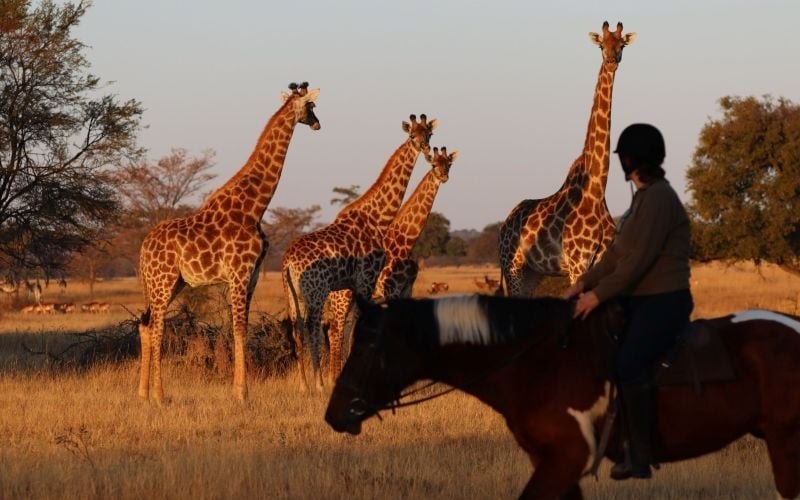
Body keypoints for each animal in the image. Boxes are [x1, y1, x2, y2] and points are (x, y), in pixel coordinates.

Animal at [137, 82, 320, 404]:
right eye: (311, 106)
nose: (317, 123)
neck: (254, 207)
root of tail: (143, 249)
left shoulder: (253, 274)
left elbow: (241, 328)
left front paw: (239, 390)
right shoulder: (238, 272)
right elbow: (238, 328)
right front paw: (241, 394)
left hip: (170, 283)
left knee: (146, 324)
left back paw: (143, 395)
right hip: (163, 281)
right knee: (156, 326)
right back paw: (160, 395)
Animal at [282, 114, 436, 391]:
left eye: (428, 134)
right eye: (412, 136)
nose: (427, 151)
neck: (378, 219)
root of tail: (288, 261)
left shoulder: (357, 286)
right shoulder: (367, 280)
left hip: (293, 293)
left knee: (297, 328)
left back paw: (304, 385)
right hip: (317, 291)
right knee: (314, 327)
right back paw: (319, 383)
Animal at [326, 146, 458, 379]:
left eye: (448, 164)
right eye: (434, 164)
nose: (444, 176)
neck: (406, 240)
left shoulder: (406, 289)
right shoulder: (392, 290)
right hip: (342, 296)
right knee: (336, 330)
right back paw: (333, 377)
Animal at [498, 21, 635, 296]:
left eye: (622, 45)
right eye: (601, 45)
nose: (611, 61)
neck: (596, 191)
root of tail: (503, 227)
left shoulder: (601, 263)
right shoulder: (577, 264)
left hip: (533, 273)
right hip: (513, 268)